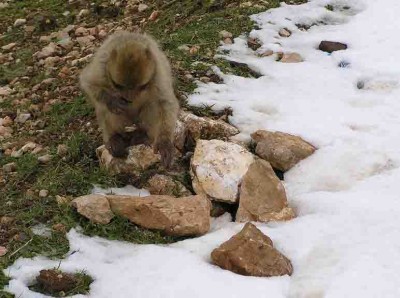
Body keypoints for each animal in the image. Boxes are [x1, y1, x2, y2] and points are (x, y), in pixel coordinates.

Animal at [79, 30, 179, 168]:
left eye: (142, 86)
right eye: (117, 85)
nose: (129, 98)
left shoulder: (158, 74)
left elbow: (165, 103)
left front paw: (164, 143)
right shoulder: (101, 65)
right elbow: (89, 83)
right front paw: (113, 101)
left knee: (153, 105)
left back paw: (143, 135)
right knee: (108, 109)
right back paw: (114, 138)